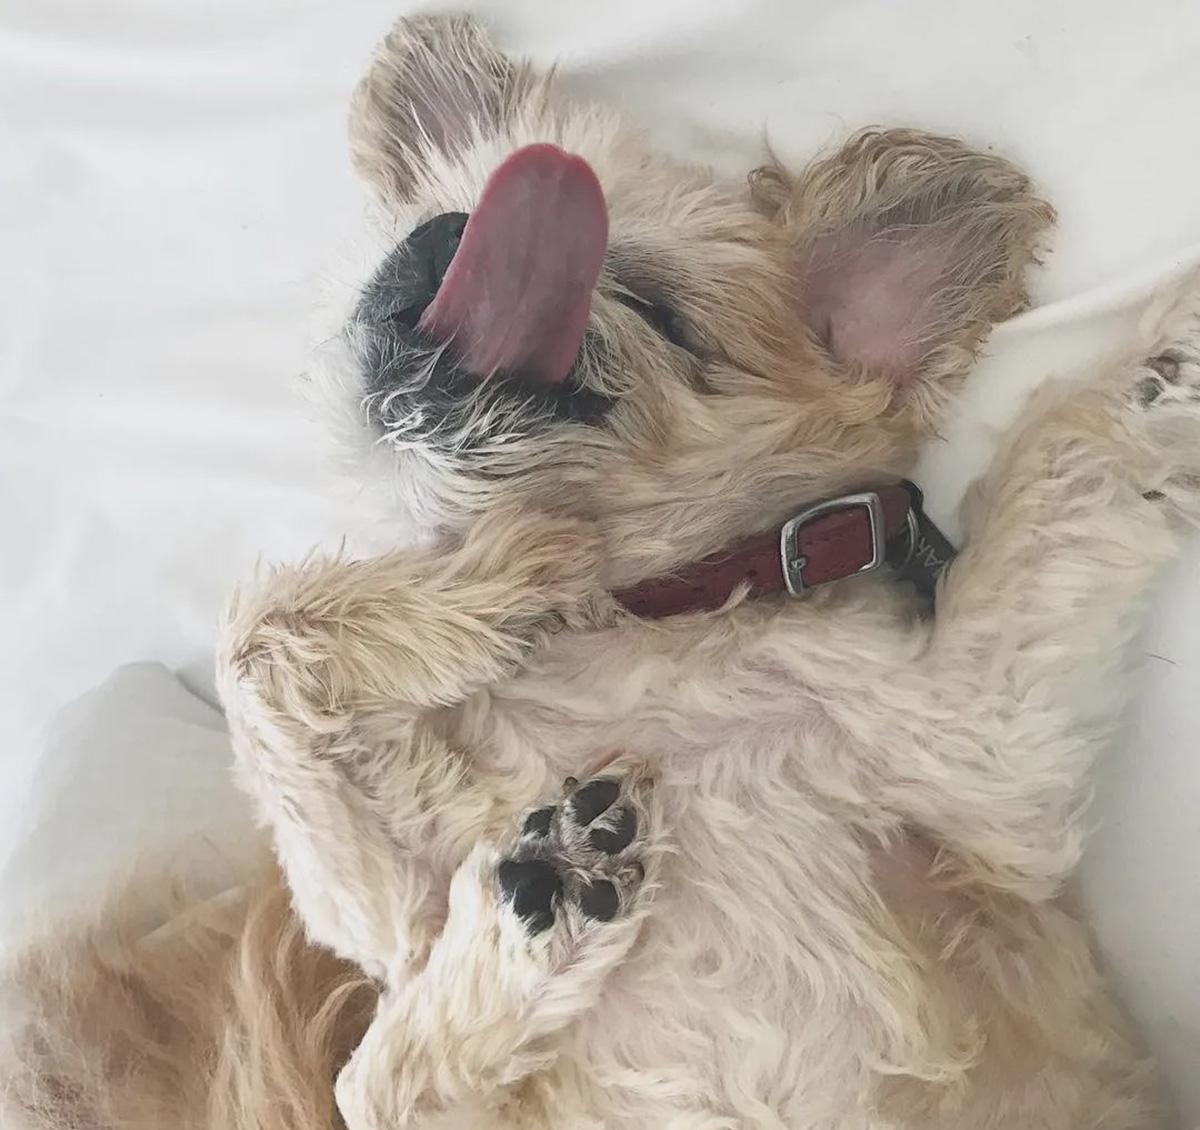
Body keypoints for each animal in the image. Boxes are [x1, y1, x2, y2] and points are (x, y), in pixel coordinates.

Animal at [6, 12, 1198, 1128]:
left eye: (656, 308)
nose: (450, 236)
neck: (635, 629)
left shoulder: (986, 752)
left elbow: (1069, 451)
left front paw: (1172, 361)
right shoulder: (393, 927)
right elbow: (260, 644)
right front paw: (492, 595)